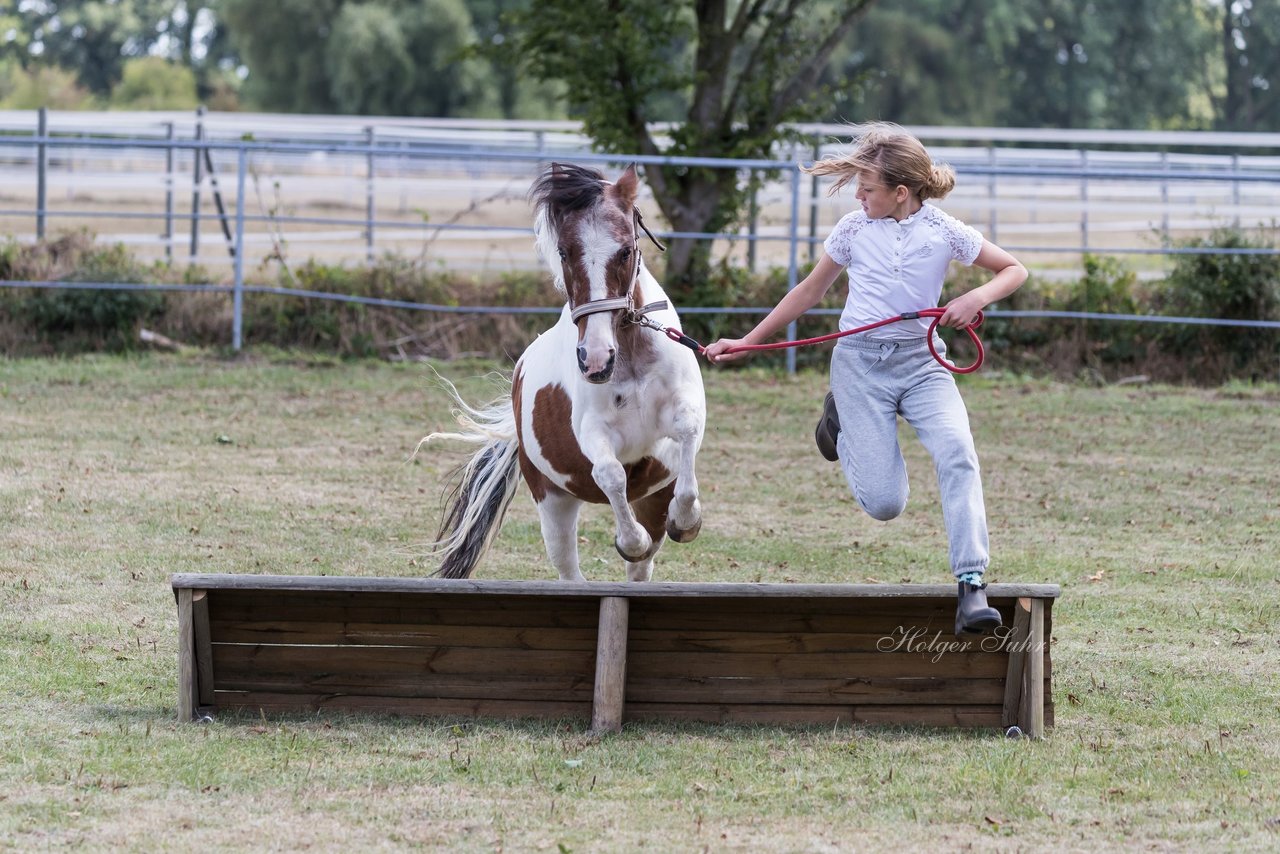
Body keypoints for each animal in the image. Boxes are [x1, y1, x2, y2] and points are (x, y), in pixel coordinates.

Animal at [422, 163, 706, 583]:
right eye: (563, 251)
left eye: (625, 250)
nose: (595, 360)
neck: (629, 352)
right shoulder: (593, 432)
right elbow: (610, 474)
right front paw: (629, 540)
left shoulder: (680, 416)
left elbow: (686, 439)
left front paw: (686, 520)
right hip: (552, 502)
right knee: (572, 569)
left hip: (651, 498)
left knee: (642, 564)